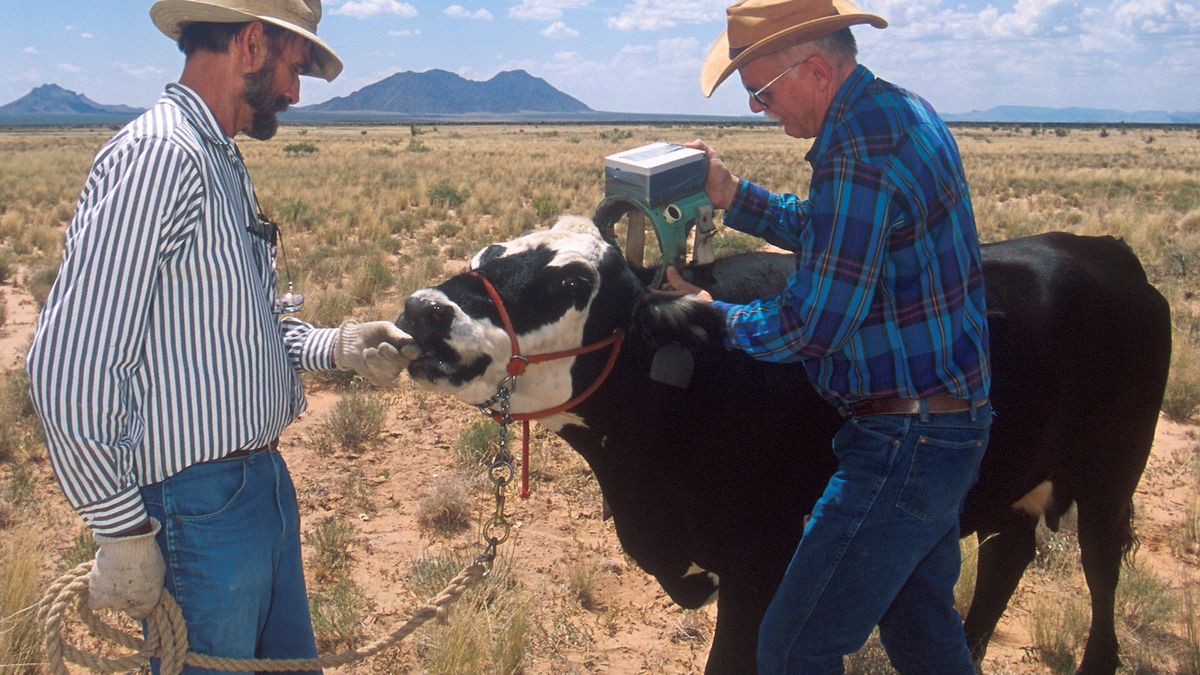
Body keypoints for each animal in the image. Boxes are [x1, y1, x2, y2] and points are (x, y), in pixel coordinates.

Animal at [398, 216, 1171, 674]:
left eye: (571, 279)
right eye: (487, 254)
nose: (423, 309)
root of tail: (1105, 251)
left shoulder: (764, 569)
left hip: (1112, 480)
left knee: (1100, 568)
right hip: (1012, 480)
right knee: (1008, 557)